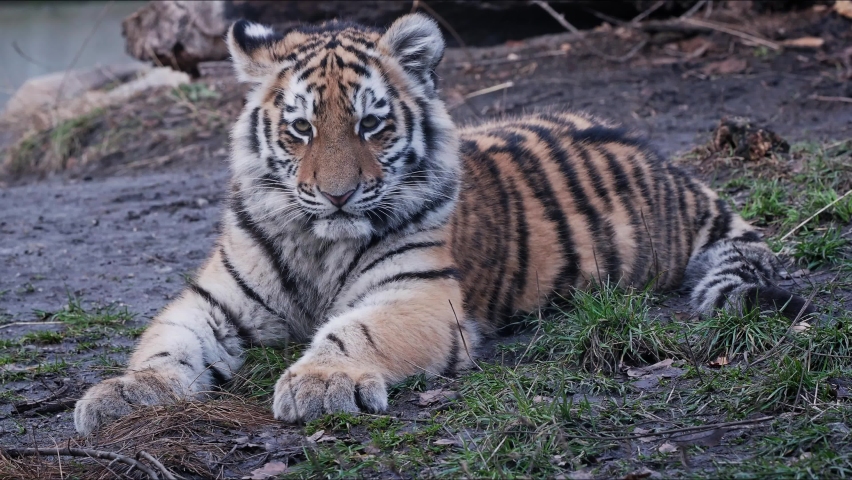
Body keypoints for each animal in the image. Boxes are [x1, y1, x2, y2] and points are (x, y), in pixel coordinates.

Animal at [73, 13, 815, 435]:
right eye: (302, 128)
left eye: (371, 124)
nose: (338, 196)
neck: (319, 245)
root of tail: (677, 173)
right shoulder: (213, 300)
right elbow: (164, 344)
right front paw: (122, 394)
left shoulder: (420, 295)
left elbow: (355, 332)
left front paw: (321, 382)